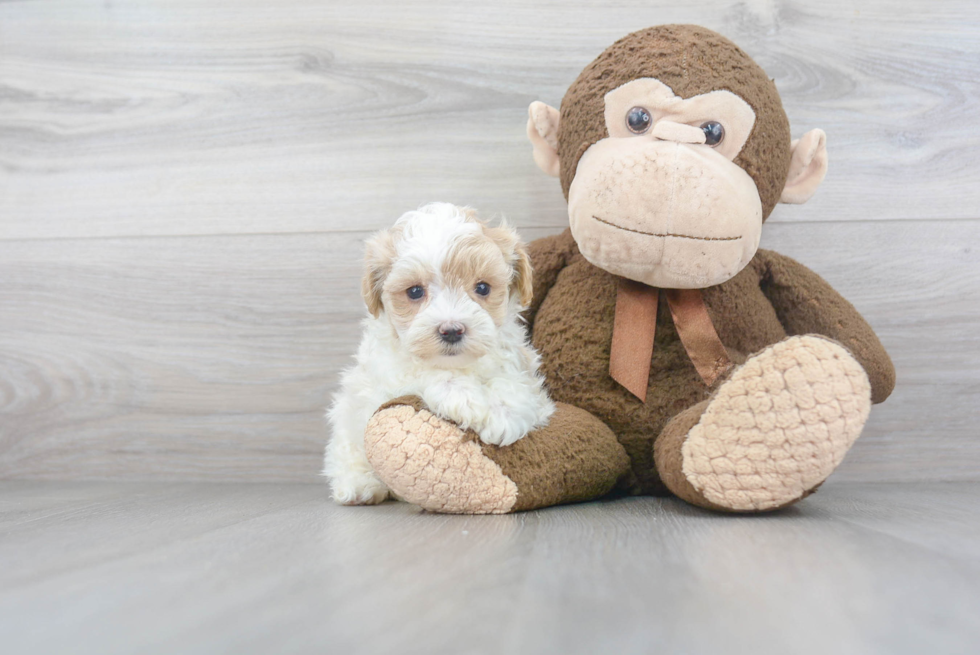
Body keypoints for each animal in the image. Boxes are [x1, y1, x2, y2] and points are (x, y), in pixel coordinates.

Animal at [326, 202, 556, 504]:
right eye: (414, 291)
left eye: (482, 287)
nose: (452, 330)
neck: (458, 364)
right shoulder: (389, 373)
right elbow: (427, 374)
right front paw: (467, 398)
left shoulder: (519, 362)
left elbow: (513, 382)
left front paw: (503, 413)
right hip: (347, 420)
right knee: (346, 452)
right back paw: (359, 486)